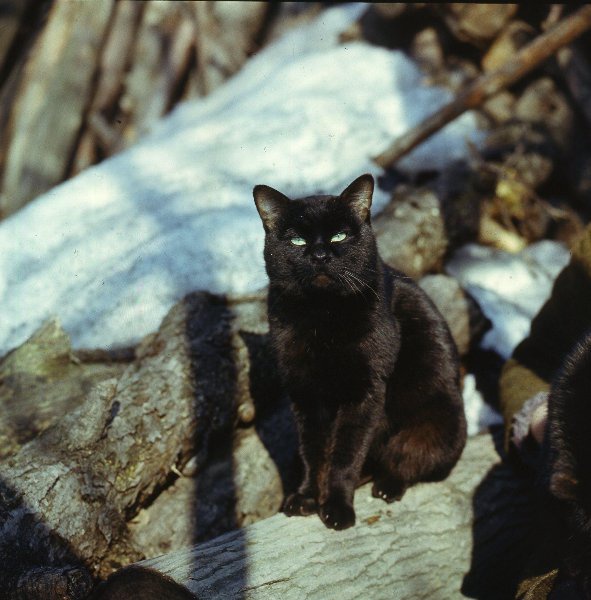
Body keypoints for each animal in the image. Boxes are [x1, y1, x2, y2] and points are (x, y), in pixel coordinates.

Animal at [253, 172, 468, 528]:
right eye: (297, 241)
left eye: (339, 235)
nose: (320, 255)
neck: (322, 318)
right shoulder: (305, 394)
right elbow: (314, 453)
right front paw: (307, 496)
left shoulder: (364, 393)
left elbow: (345, 455)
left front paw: (337, 509)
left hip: (438, 424)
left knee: (410, 460)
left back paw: (387, 485)